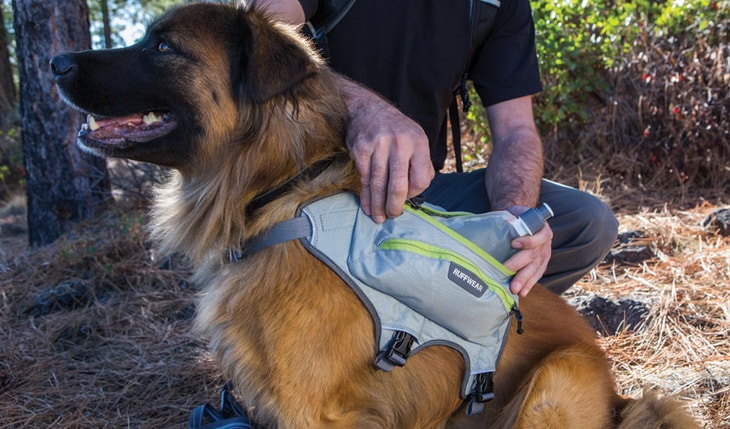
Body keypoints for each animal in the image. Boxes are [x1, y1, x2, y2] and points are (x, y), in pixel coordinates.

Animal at [48, 4, 696, 428]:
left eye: (162, 47)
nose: (55, 62)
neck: (281, 196)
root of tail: (618, 396)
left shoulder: (315, 410)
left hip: (554, 380)